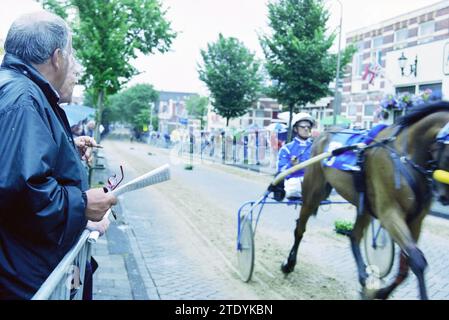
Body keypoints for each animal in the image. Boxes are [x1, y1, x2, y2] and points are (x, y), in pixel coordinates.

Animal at [282, 102, 448, 300]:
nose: (444, 196)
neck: (404, 155)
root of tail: (322, 135)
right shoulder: (390, 213)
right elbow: (417, 261)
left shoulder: (416, 220)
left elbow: (406, 266)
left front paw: (379, 292)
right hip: (313, 193)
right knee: (300, 228)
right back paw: (289, 264)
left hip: (366, 206)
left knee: (354, 236)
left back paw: (363, 278)